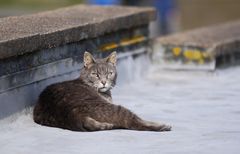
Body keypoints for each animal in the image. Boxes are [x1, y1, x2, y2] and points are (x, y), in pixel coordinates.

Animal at [32, 51, 172, 131]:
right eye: (96, 74)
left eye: (109, 73)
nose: (104, 82)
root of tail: (70, 114)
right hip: (116, 109)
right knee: (134, 122)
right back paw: (161, 126)